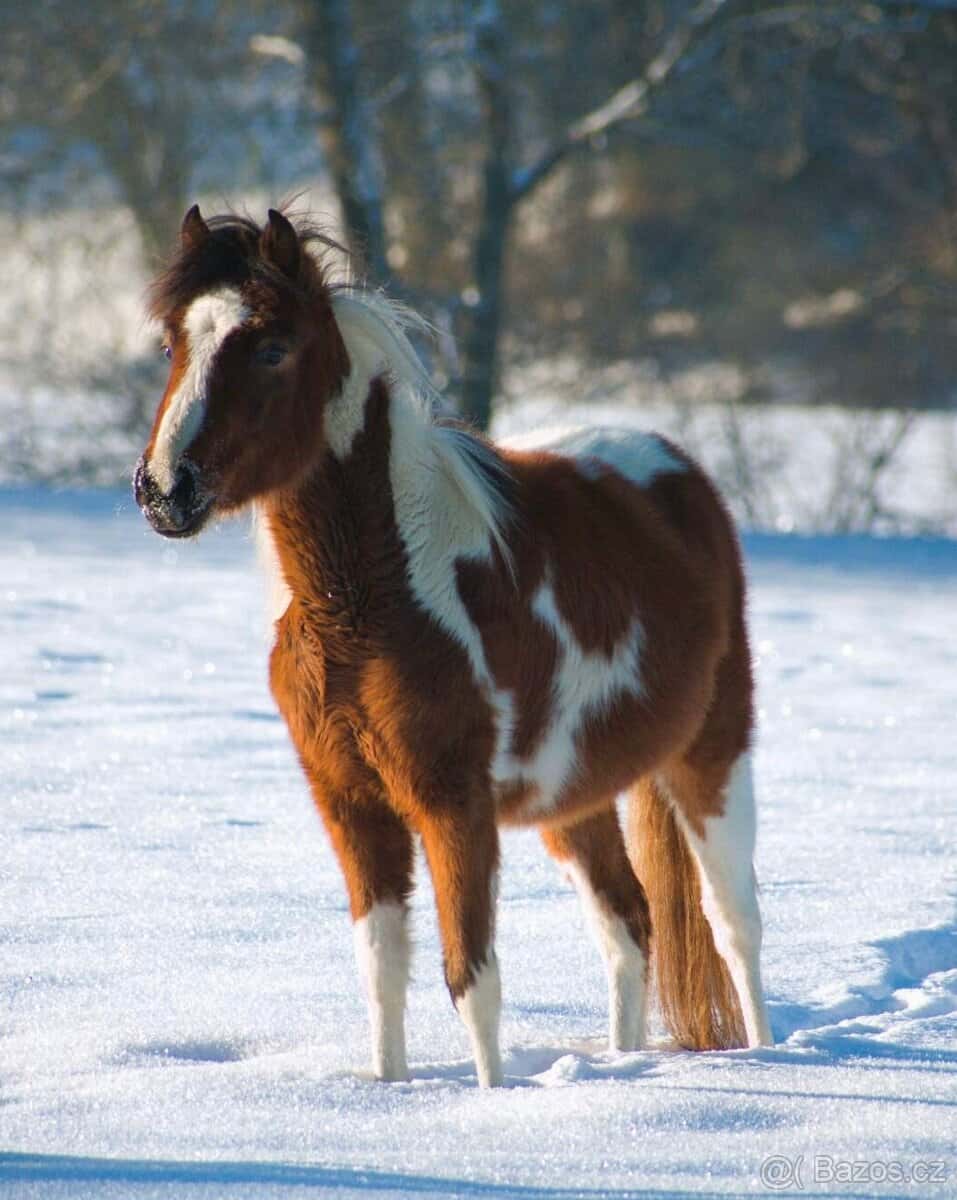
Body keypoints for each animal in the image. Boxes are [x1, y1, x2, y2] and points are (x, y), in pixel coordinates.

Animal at [134, 205, 773, 1088]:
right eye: (172, 346)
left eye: (270, 347)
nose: (166, 491)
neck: (370, 600)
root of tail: (675, 470)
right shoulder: (350, 803)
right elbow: (382, 970)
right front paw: (390, 1089)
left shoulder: (450, 804)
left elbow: (471, 978)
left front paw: (489, 1099)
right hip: (574, 797)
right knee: (627, 925)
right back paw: (623, 1058)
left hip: (711, 755)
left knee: (732, 919)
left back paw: (769, 1055)